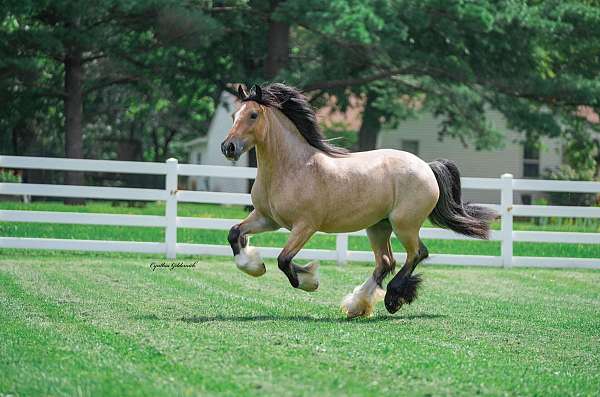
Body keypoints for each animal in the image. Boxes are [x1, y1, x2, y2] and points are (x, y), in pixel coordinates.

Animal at [220, 83, 496, 318]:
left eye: (253, 115)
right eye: (234, 115)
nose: (228, 147)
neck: (292, 168)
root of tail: (426, 167)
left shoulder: (305, 226)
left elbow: (284, 260)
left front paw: (310, 281)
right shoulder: (267, 219)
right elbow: (235, 233)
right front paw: (254, 266)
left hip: (404, 224)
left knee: (417, 253)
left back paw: (393, 298)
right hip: (378, 226)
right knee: (386, 262)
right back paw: (357, 305)